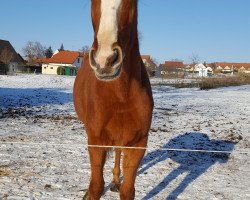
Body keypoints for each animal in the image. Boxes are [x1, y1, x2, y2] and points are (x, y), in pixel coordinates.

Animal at [73, 0, 153, 199]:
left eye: (132, 2)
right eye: (91, 2)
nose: (105, 60)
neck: (120, 95)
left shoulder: (138, 143)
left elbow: (128, 190)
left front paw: (119, 184)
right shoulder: (95, 140)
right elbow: (96, 185)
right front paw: (89, 191)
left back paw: (116, 181)